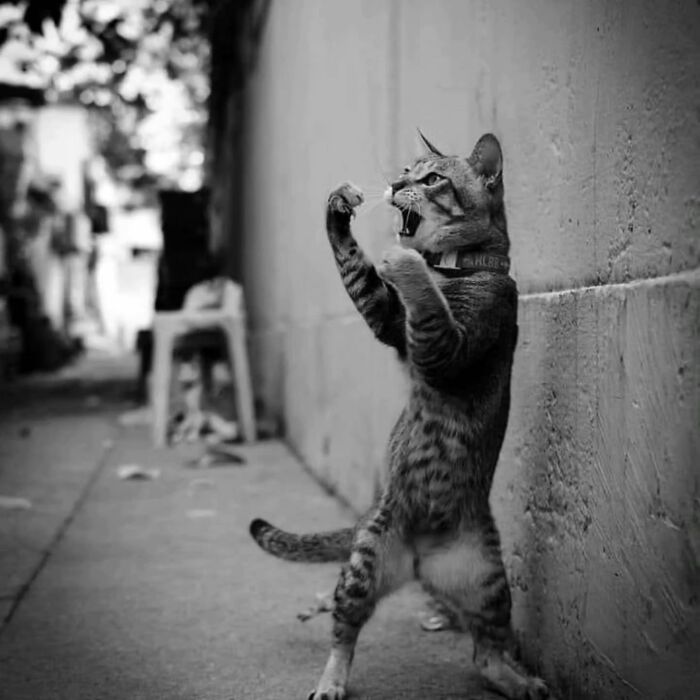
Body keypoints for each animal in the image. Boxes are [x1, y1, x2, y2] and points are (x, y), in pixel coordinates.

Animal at [249, 133, 548, 700]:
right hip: (365, 566)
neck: (455, 265)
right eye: (407, 170)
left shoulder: (446, 349)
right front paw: (339, 207)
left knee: (486, 652)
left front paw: (405, 262)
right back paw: (331, 681)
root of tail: (419, 559)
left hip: (488, 581)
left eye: (431, 178)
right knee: (345, 633)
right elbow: (358, 271)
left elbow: (425, 302)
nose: (394, 183)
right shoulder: (389, 322)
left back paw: (519, 681)